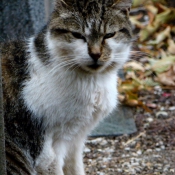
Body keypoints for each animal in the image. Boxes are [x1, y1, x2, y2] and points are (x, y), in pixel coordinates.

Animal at [1, 0, 133, 174]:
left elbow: (75, 167)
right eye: (77, 35)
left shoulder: (76, 138)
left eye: (109, 35)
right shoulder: (48, 152)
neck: (93, 82)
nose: (95, 54)